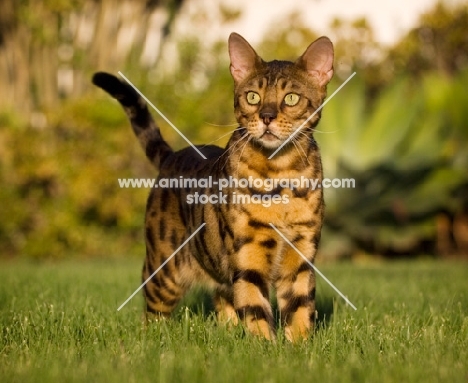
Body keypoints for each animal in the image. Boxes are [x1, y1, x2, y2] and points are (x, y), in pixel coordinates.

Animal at [92, 33, 332, 342]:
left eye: (291, 98)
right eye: (252, 97)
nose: (266, 116)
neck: (281, 175)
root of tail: (172, 155)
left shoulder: (302, 254)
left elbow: (300, 308)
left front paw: (299, 346)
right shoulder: (247, 253)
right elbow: (255, 308)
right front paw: (265, 347)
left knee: (222, 300)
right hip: (164, 271)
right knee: (153, 312)